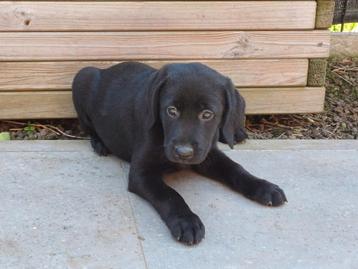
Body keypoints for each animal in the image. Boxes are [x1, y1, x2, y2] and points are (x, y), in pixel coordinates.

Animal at [73, 62, 288, 245]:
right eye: (171, 111)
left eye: (207, 114)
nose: (183, 153)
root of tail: (106, 69)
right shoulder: (141, 173)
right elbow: (169, 194)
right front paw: (186, 221)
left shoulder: (207, 154)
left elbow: (235, 168)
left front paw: (263, 187)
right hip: (83, 76)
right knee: (87, 126)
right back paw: (100, 144)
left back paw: (236, 133)